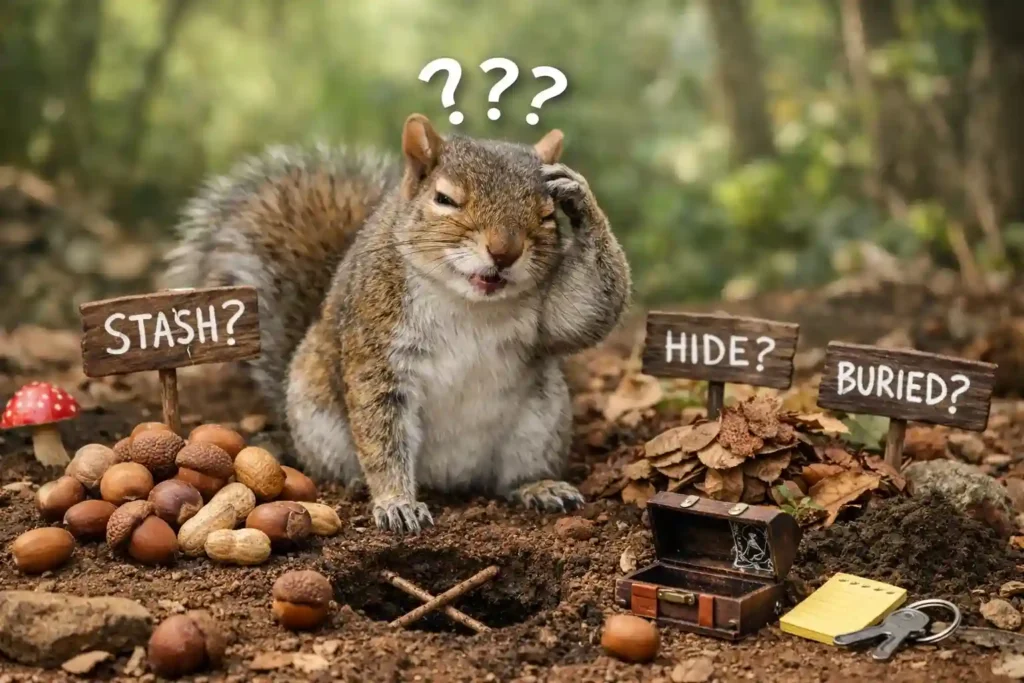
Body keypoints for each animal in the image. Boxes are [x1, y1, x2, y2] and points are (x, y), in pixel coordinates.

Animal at [166, 114, 632, 534]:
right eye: (444, 199)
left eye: (548, 214)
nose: (504, 251)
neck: (467, 301)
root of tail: (451, 479)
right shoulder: (377, 345)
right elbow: (383, 436)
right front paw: (396, 503)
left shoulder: (546, 314)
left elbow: (581, 315)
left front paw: (578, 194)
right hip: (318, 421)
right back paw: (357, 483)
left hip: (539, 425)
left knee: (511, 478)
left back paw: (539, 486)